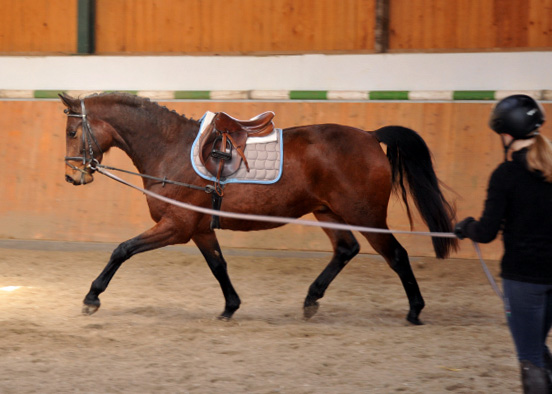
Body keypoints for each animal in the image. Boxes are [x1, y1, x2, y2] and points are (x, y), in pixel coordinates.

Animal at [59, 93, 458, 326]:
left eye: (72, 132)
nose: (71, 176)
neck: (170, 148)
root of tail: (370, 136)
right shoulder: (199, 229)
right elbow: (218, 266)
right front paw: (230, 306)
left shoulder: (178, 225)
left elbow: (122, 249)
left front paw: (92, 297)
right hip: (328, 211)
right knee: (346, 249)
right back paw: (311, 299)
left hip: (366, 215)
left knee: (396, 255)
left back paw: (415, 309)